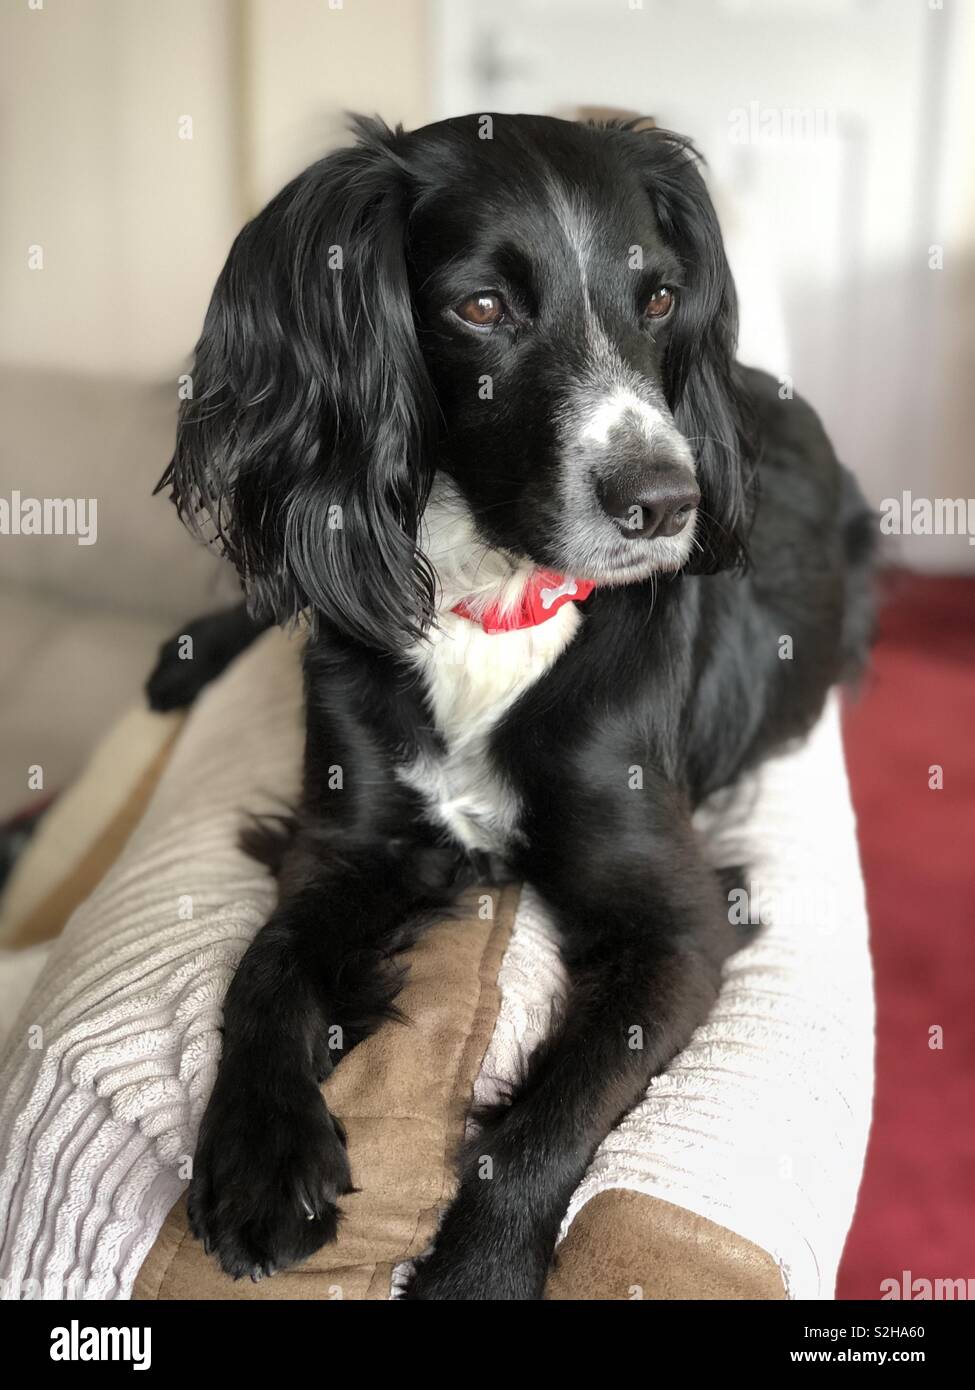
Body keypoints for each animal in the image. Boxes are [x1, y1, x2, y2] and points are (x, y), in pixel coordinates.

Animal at [152, 113, 873, 1295]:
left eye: (659, 298)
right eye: (482, 308)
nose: (668, 503)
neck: (496, 604)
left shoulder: (679, 921)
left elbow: (552, 1114)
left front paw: (477, 1271)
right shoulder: (348, 837)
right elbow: (264, 967)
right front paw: (259, 1152)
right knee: (286, 589)